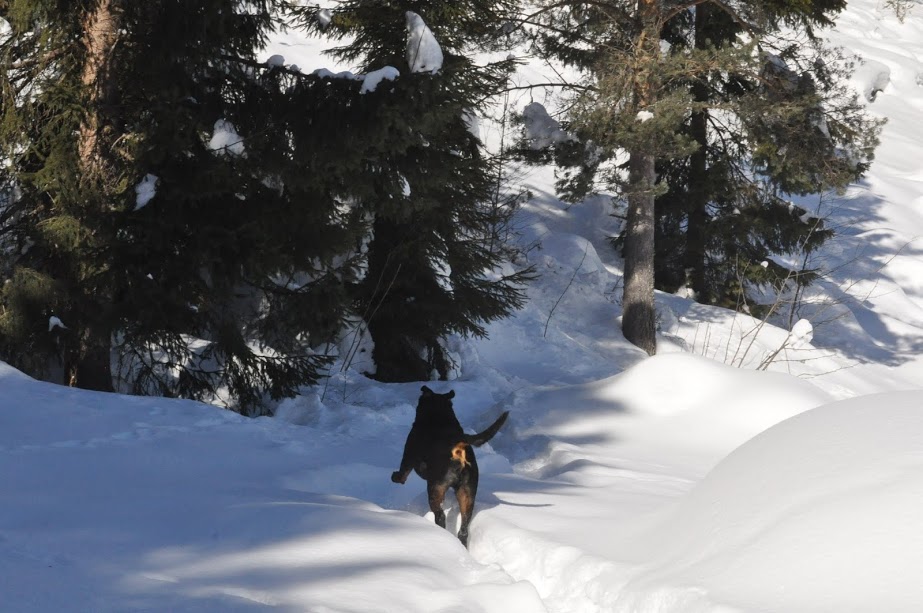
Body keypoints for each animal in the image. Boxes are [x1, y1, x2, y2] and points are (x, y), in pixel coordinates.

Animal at [391, 385, 509, 547]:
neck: (439, 415)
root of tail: (459, 450)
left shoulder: (408, 456)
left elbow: (402, 475)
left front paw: (394, 477)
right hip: (467, 493)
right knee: (464, 528)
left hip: (435, 488)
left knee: (440, 516)